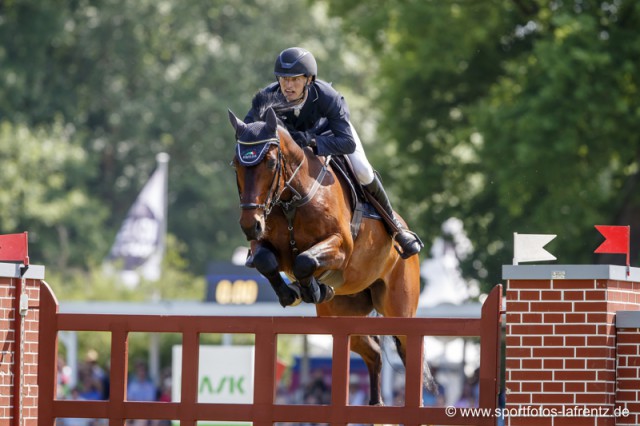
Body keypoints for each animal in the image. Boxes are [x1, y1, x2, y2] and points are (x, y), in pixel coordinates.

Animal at [228, 95, 432, 404]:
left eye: (271, 163)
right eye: (235, 166)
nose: (250, 225)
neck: (291, 199)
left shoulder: (340, 247)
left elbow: (304, 260)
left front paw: (311, 288)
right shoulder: (263, 244)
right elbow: (266, 260)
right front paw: (294, 293)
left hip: (399, 309)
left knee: (411, 356)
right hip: (343, 314)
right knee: (372, 352)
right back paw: (375, 403)